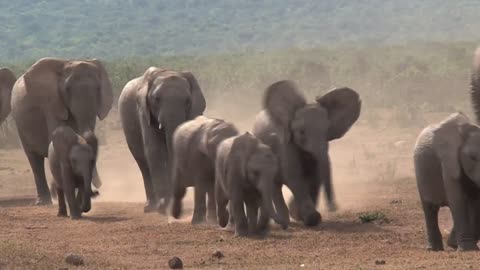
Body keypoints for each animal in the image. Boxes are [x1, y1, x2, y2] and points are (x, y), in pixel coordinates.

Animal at [11, 57, 113, 205]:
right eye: (67, 88)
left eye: (98, 88)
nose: (98, 189)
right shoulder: (51, 104)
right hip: (20, 124)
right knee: (34, 159)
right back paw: (44, 201)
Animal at [119, 67, 205, 213]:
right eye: (157, 99)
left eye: (188, 101)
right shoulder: (144, 111)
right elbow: (155, 150)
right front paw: (164, 206)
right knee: (143, 164)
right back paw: (150, 207)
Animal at [253, 79, 362, 226]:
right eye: (302, 132)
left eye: (327, 131)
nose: (334, 207)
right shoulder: (286, 145)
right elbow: (295, 177)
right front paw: (311, 218)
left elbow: (315, 178)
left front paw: (301, 215)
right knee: (275, 185)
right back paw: (284, 220)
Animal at [412, 112, 480, 251]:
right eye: (472, 157)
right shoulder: (448, 161)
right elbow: (458, 199)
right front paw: (467, 250)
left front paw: (457, 245)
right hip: (420, 172)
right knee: (430, 209)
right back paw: (434, 249)